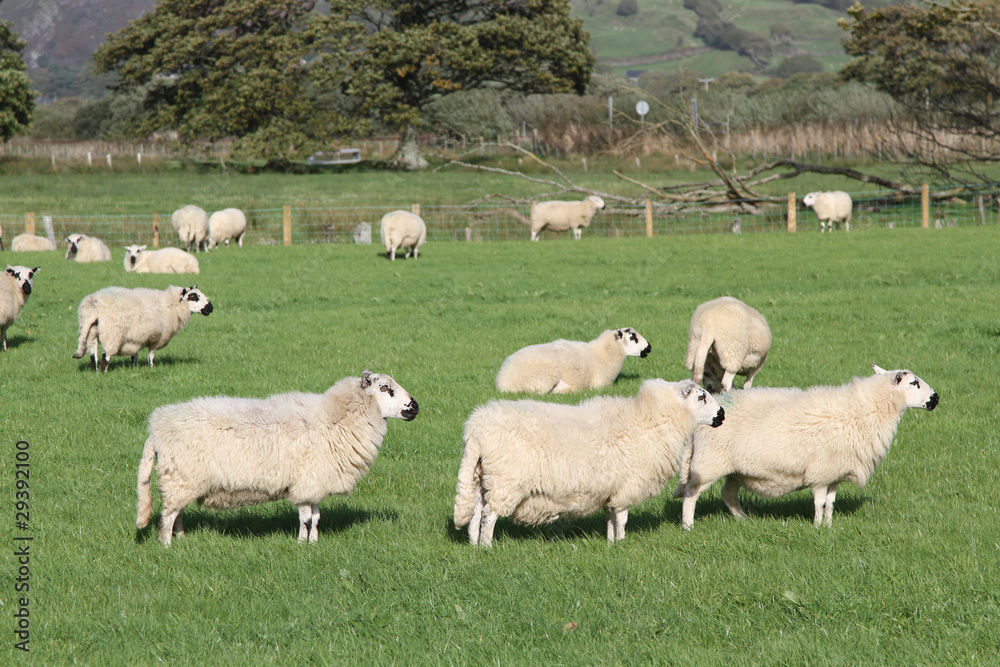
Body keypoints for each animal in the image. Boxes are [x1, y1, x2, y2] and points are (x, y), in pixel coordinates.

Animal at [72, 284, 214, 371]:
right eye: (193, 296)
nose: (210, 307)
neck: (171, 306)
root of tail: (92, 306)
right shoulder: (156, 338)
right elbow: (151, 356)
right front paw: (151, 368)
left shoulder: (136, 338)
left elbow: (134, 356)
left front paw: (134, 368)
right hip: (112, 334)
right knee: (105, 356)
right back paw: (103, 372)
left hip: (92, 332)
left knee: (93, 356)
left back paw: (95, 373)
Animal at [136, 370, 419, 546]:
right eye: (385, 388)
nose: (415, 406)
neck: (335, 418)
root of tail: (156, 428)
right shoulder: (304, 483)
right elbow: (306, 518)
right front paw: (301, 543)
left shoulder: (313, 483)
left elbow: (316, 517)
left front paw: (314, 543)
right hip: (181, 477)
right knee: (168, 516)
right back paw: (167, 546)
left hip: (184, 480)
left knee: (177, 514)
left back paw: (182, 539)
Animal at [453, 379, 724, 546]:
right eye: (701, 397)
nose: (721, 414)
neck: (648, 420)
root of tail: (475, 429)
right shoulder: (626, 486)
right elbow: (621, 519)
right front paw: (622, 542)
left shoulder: (611, 489)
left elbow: (610, 518)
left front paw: (611, 543)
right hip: (505, 481)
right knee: (489, 515)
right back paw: (487, 546)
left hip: (481, 477)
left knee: (476, 512)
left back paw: (474, 545)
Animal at [495, 327, 651, 394]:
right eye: (632, 337)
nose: (649, 347)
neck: (602, 354)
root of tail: (503, 381)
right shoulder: (600, 384)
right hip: (543, 380)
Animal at [675, 365, 939, 530]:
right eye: (914, 383)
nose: (936, 398)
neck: (865, 409)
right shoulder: (821, 472)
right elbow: (820, 502)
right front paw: (817, 526)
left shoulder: (834, 472)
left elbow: (831, 503)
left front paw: (829, 526)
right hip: (709, 464)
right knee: (691, 495)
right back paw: (688, 526)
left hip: (735, 470)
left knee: (728, 494)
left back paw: (744, 520)